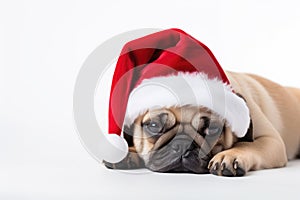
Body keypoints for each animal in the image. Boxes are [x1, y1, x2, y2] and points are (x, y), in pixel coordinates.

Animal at [103, 71, 300, 177]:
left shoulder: (271, 140)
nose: (183, 145)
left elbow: (247, 145)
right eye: (153, 126)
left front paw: (228, 156)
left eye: (212, 129)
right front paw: (128, 152)